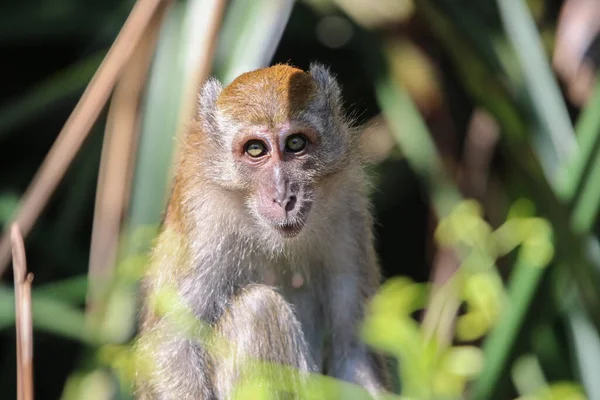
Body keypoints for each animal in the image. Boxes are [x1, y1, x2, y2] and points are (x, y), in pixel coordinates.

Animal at [135, 64, 390, 398]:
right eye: (255, 149)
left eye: (295, 143)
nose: (283, 197)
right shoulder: (202, 215)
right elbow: (170, 347)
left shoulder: (349, 207)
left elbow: (352, 353)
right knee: (259, 308)